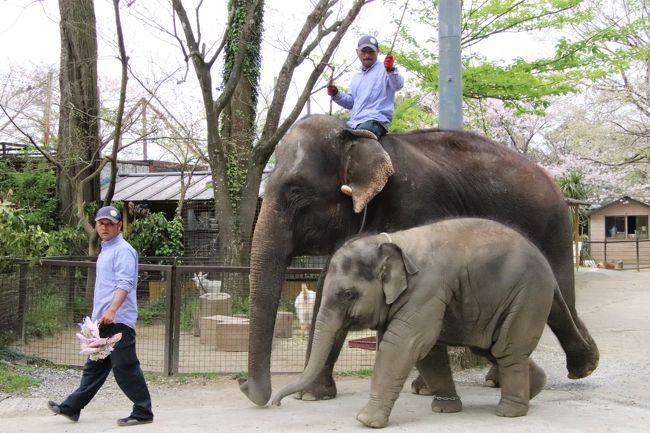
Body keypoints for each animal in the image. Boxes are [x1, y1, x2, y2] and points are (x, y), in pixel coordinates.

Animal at [238, 114, 596, 404]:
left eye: (297, 193)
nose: (245, 387)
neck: (358, 138)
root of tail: (556, 185)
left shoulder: (419, 203)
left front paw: (422, 385)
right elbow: (329, 283)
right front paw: (312, 396)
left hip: (553, 227)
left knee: (558, 295)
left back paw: (581, 366)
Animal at [270, 218, 580, 426]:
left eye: (348, 294)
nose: (274, 402)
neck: (392, 242)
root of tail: (549, 269)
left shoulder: (426, 289)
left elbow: (403, 344)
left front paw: (365, 421)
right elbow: (427, 351)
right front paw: (444, 410)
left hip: (528, 295)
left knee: (507, 349)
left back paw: (509, 412)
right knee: (490, 347)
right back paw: (534, 389)